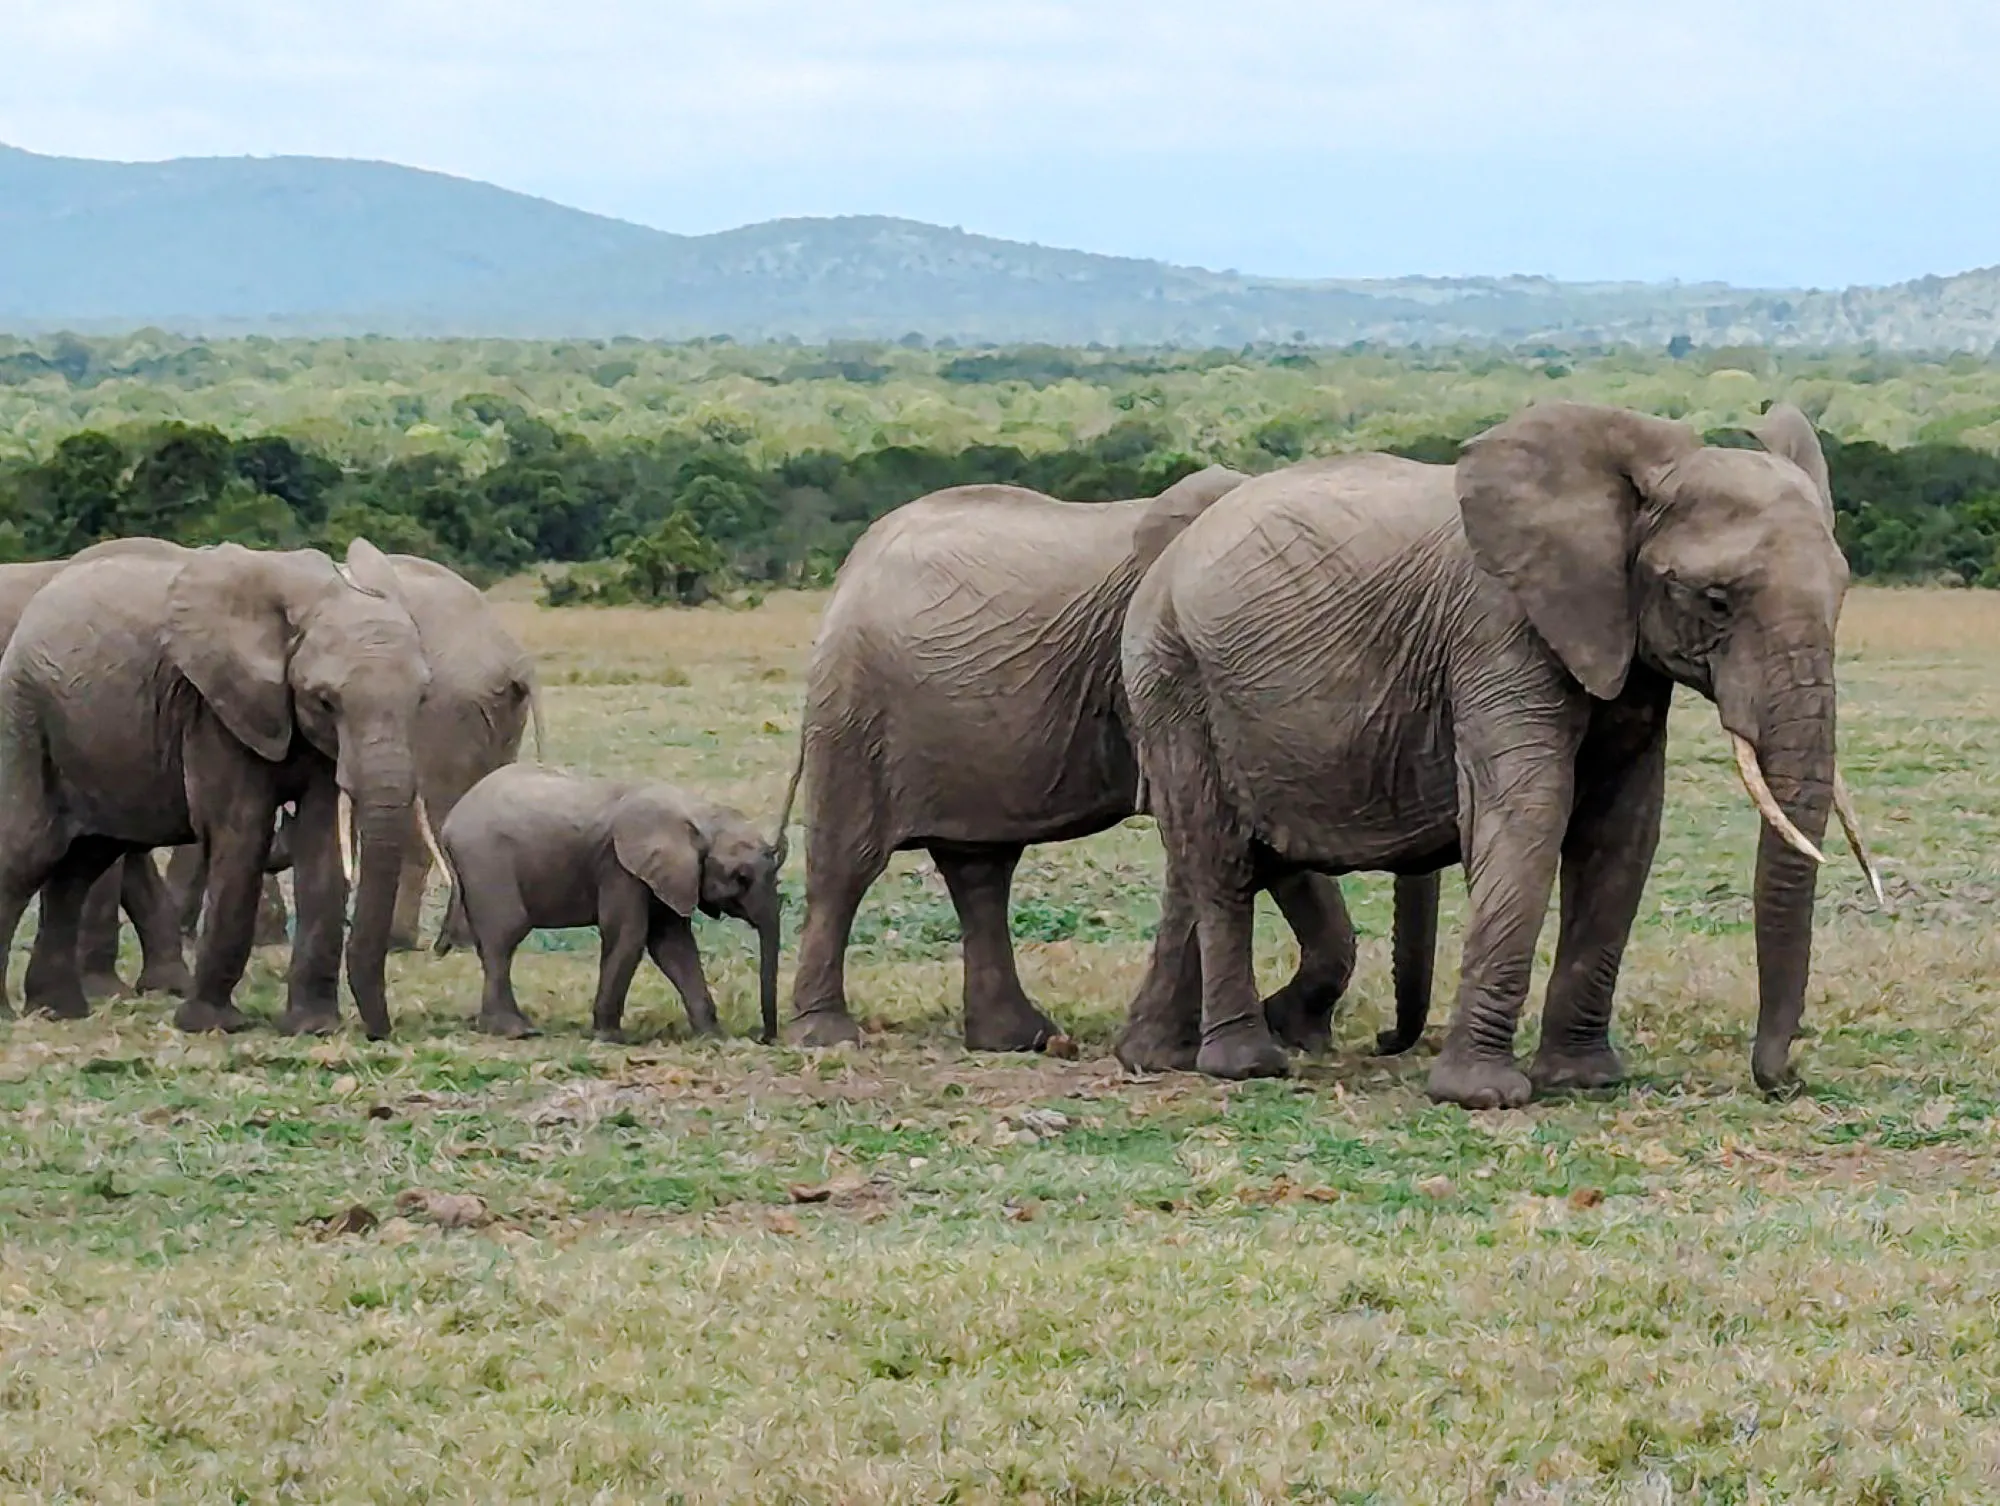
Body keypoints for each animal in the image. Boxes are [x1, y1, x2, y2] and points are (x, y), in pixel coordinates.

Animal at [0, 537, 435, 1036]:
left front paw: (312, 1027)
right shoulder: (211, 707)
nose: (379, 1030)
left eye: (422, 698)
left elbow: (321, 846)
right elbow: (242, 834)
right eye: (326, 700)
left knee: (82, 863)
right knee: (30, 852)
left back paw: (58, 1011)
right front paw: (212, 1025)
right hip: (24, 714)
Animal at [435, 764, 783, 1042]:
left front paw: (713, 1037)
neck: (699, 814)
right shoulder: (621, 868)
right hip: (487, 861)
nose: (765, 1038)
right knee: (505, 936)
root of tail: (451, 820)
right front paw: (610, 1037)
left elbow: (673, 945)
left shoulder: (664, 875)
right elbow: (628, 936)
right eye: (741, 877)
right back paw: (517, 1031)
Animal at [785, 465, 1439, 1054]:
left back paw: (1021, 1040)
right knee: (848, 863)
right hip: (853, 709)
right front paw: (1279, 1030)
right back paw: (828, 1037)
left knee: (980, 869)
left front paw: (1295, 1033)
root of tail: (852, 563)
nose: (1383, 1040)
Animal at [1118, 401, 1879, 1108]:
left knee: (1195, 860)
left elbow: (1623, 832)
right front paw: (1482, 1095)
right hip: (1171, 673)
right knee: (1219, 858)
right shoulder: (1500, 630)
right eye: (1716, 601)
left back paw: (1155, 1056)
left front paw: (1582, 1080)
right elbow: (1530, 815)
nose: (1786, 1078)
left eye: (1844, 595)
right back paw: (1245, 1065)